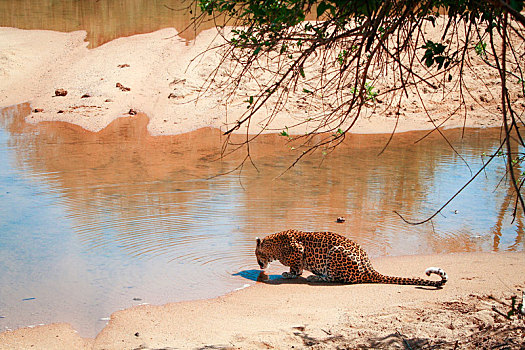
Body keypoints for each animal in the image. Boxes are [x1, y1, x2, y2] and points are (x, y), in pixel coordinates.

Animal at [254, 230, 446, 288]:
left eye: (256, 254)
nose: (258, 264)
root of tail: (370, 269)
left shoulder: (298, 250)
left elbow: (295, 267)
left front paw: (289, 274)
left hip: (335, 253)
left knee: (335, 278)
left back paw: (315, 277)